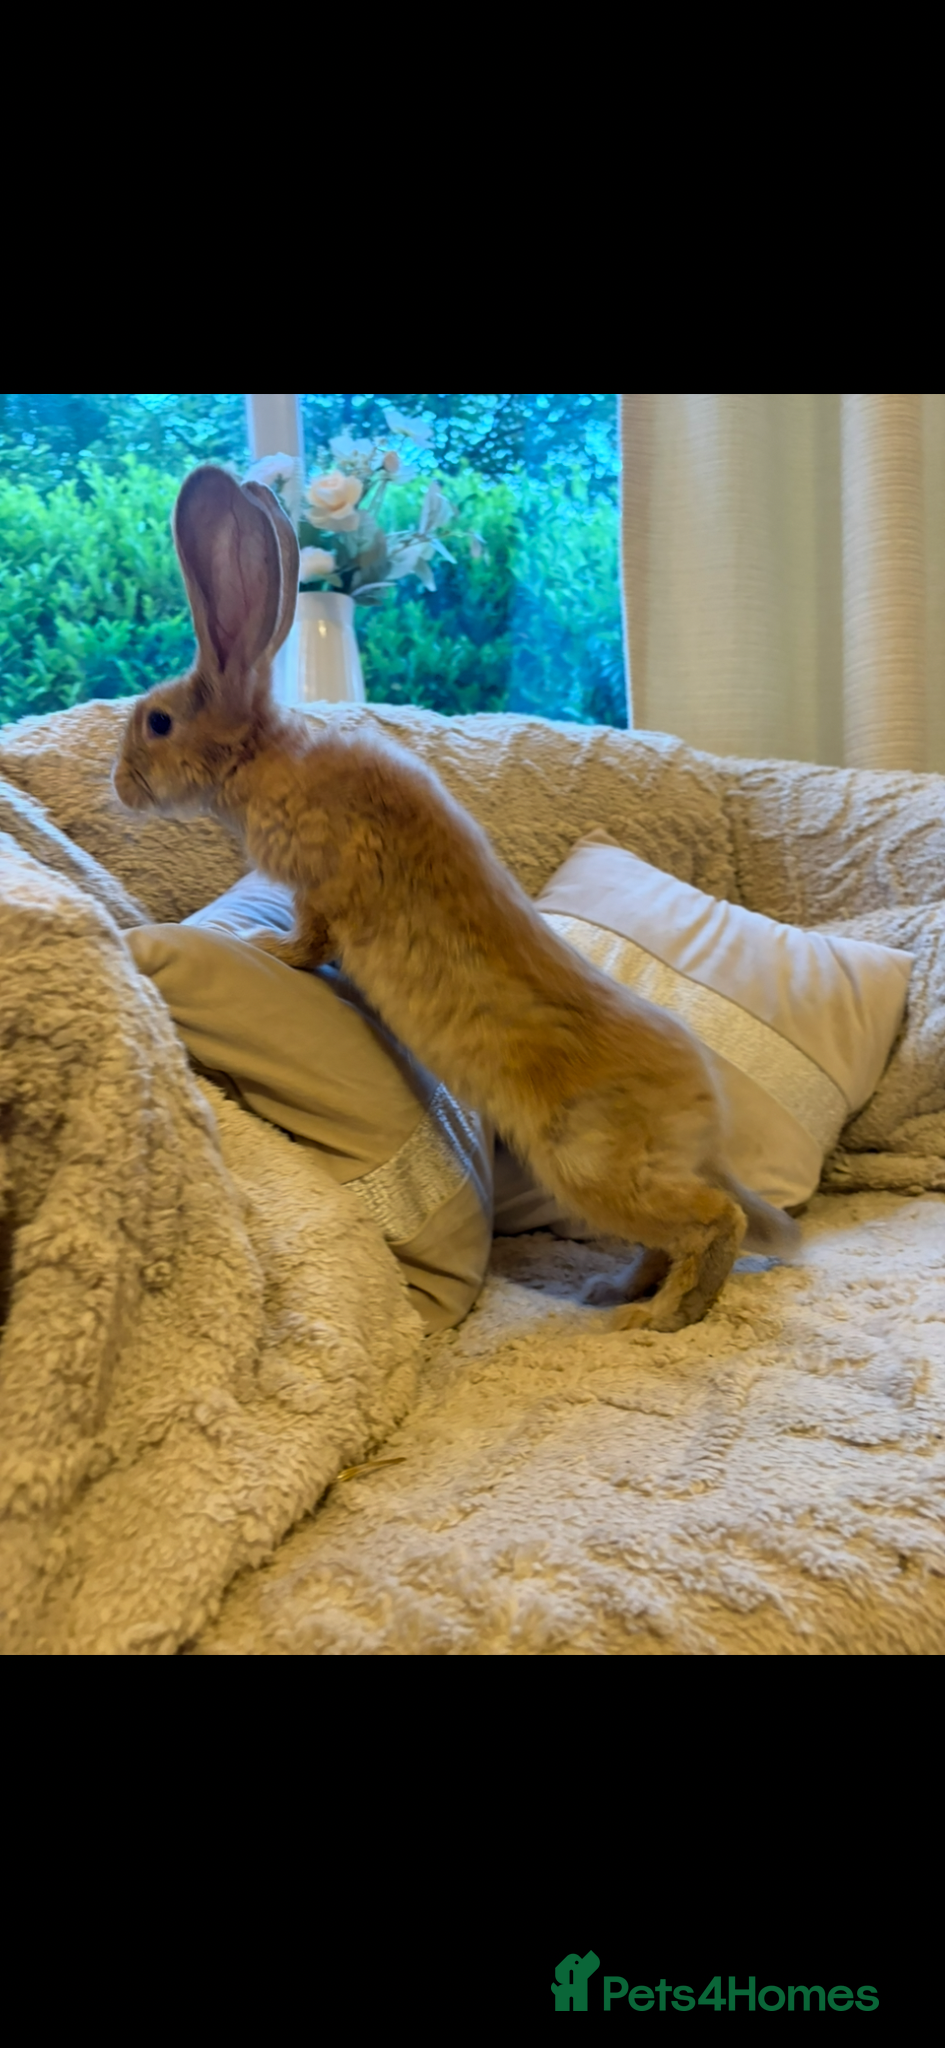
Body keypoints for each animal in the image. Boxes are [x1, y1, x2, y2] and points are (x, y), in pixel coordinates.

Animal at [114, 464, 800, 1333]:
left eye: (159, 723)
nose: (118, 784)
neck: (264, 759)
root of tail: (702, 1121)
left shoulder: (323, 887)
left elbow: (312, 937)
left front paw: (269, 951)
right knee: (671, 1235)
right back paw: (615, 1292)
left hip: (590, 1168)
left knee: (715, 1222)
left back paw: (657, 1318)